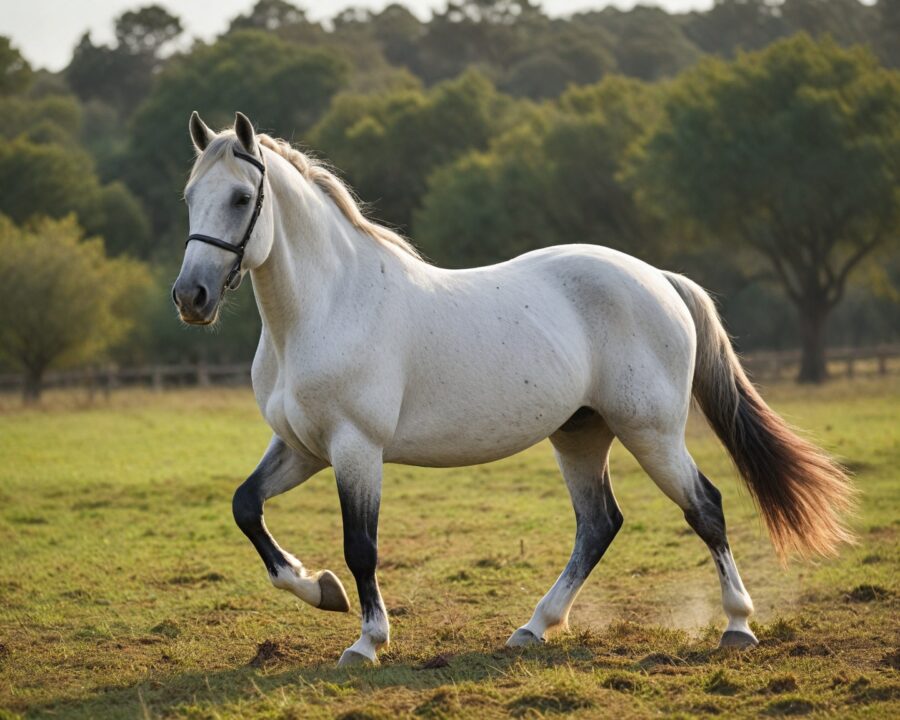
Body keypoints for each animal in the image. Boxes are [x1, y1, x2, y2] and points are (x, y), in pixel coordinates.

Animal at [173, 112, 854, 666]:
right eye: (189, 197)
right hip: (581, 435)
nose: (191, 297)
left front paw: (367, 641)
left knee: (704, 507)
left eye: (241, 197)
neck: (328, 306)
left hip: (651, 433)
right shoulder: (303, 447)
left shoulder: (355, 448)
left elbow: (361, 546)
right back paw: (534, 628)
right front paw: (319, 588)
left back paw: (737, 626)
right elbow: (246, 507)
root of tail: (658, 278)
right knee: (599, 524)